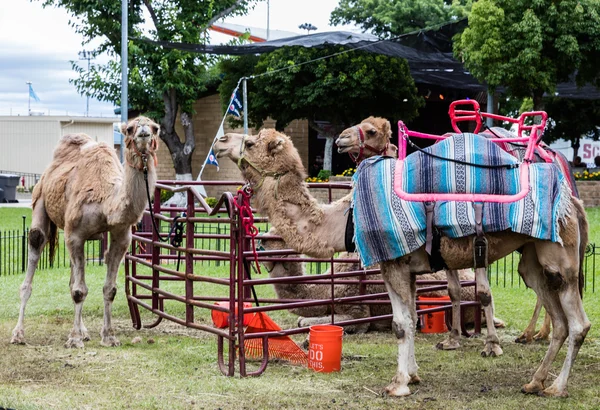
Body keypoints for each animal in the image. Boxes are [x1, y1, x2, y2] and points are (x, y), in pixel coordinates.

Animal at [12, 116, 162, 350]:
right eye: (130, 128)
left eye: (155, 127)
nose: (144, 132)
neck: (107, 202)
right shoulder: (75, 234)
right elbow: (79, 291)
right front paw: (74, 339)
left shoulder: (121, 237)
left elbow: (109, 289)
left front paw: (108, 336)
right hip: (40, 201)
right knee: (36, 245)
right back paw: (18, 333)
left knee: (72, 278)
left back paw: (84, 331)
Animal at [217, 128, 592, 398]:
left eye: (250, 141)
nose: (220, 142)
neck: (345, 219)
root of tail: (573, 200)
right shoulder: (408, 270)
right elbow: (411, 318)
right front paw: (412, 375)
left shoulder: (392, 263)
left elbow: (400, 324)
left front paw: (397, 385)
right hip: (533, 257)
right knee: (557, 317)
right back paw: (534, 381)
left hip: (561, 255)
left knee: (578, 322)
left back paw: (556, 387)